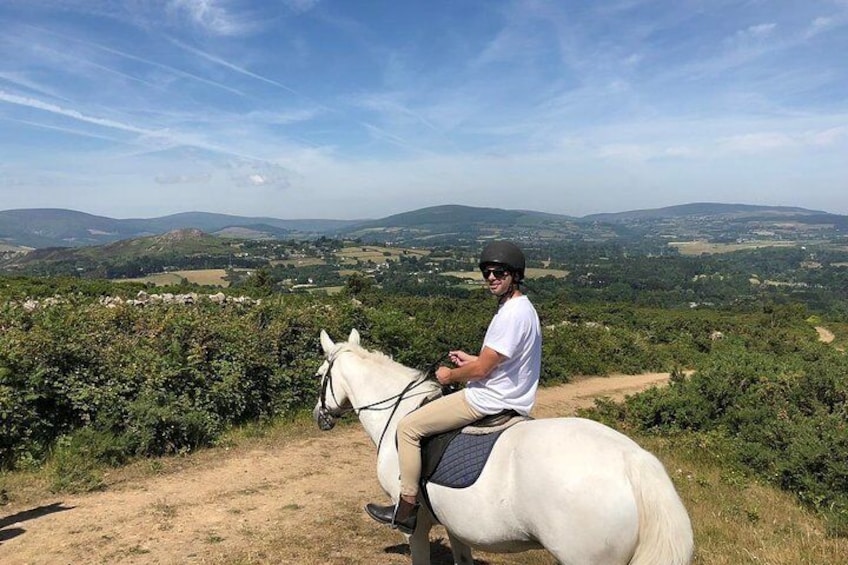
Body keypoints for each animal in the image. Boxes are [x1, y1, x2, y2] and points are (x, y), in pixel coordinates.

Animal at [314, 328, 692, 560]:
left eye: (319, 376)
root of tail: (633, 462)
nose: (320, 416)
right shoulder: (455, 523)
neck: (399, 410)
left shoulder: (415, 527)